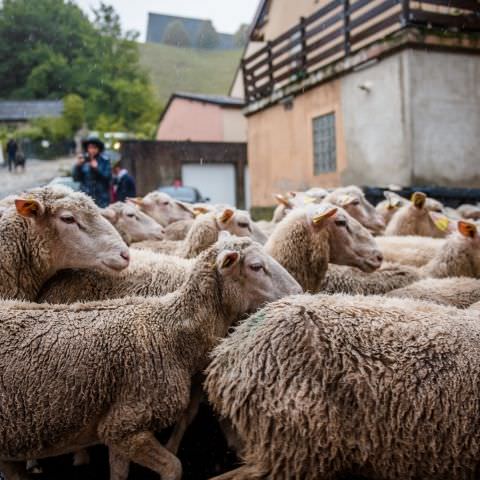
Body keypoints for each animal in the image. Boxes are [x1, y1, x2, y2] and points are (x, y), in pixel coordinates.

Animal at [0, 235, 302, 480]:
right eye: (256, 266)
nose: (299, 293)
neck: (169, 332)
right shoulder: (126, 425)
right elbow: (174, 467)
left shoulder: (116, 428)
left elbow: (119, 473)